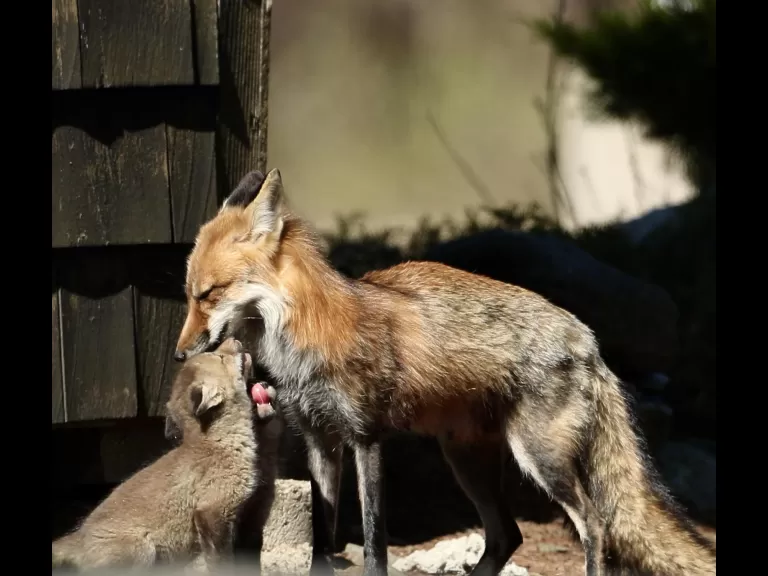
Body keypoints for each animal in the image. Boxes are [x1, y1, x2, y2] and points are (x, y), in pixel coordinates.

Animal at [52, 338, 280, 573]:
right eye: (220, 357)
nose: (233, 339)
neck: (220, 442)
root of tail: (78, 537)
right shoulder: (213, 512)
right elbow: (221, 563)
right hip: (142, 550)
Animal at [174, 168, 716, 576]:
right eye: (189, 294)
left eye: (208, 294)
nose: (179, 355)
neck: (307, 335)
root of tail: (588, 338)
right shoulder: (320, 442)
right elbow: (322, 541)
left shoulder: (366, 438)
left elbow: (373, 541)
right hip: (464, 459)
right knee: (506, 537)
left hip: (540, 458)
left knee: (595, 526)